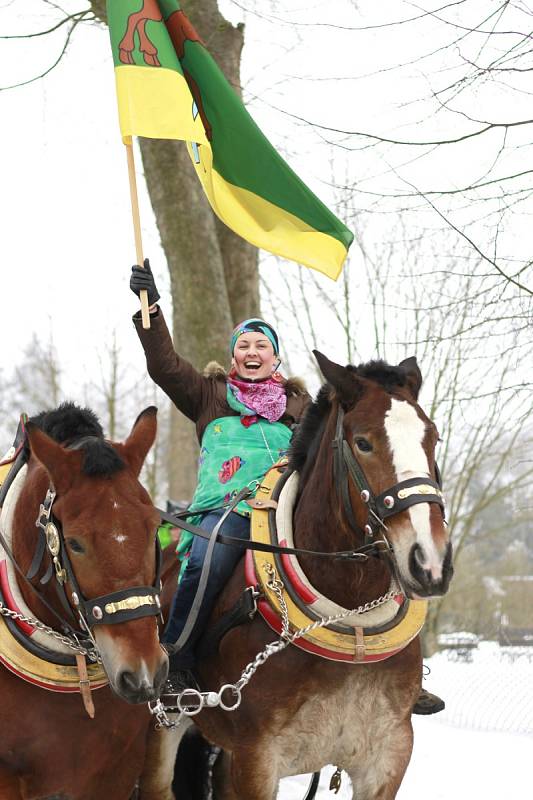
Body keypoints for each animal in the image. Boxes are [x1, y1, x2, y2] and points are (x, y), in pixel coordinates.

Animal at [168, 354, 450, 800]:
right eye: (363, 443)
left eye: (433, 439)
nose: (429, 561)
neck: (348, 614)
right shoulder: (257, 758)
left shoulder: (388, 756)